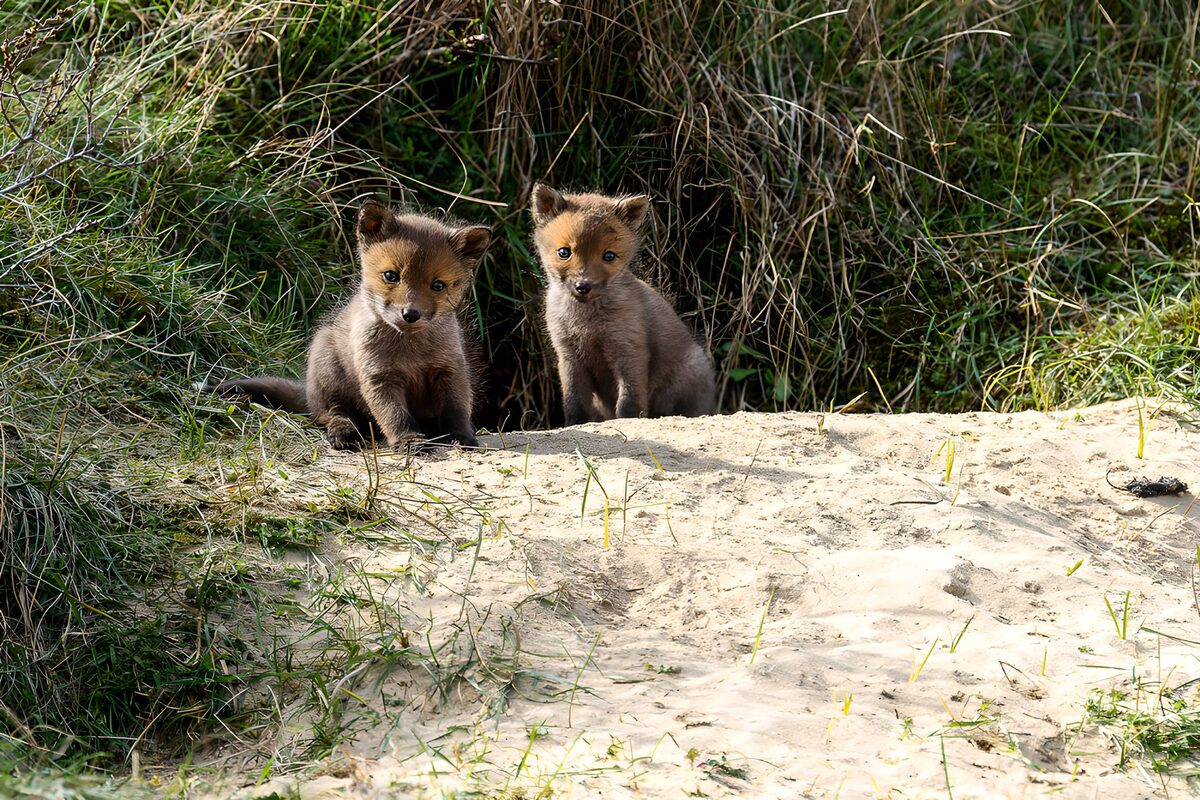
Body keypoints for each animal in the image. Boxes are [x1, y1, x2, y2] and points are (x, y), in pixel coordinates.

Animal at [212, 200, 491, 451]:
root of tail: (307, 392)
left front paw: (462, 437)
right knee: (330, 413)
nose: (410, 314)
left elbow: (456, 410)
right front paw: (409, 441)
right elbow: (394, 415)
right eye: (391, 276)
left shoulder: (450, 370)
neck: (411, 351)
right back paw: (343, 432)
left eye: (438, 285)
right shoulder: (378, 377)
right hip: (327, 369)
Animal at [530, 184, 717, 425]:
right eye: (564, 252)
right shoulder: (568, 354)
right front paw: (575, 423)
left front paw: (629, 420)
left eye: (609, 256)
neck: (587, 323)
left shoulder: (629, 348)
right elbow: (573, 399)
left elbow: (629, 399)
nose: (583, 286)